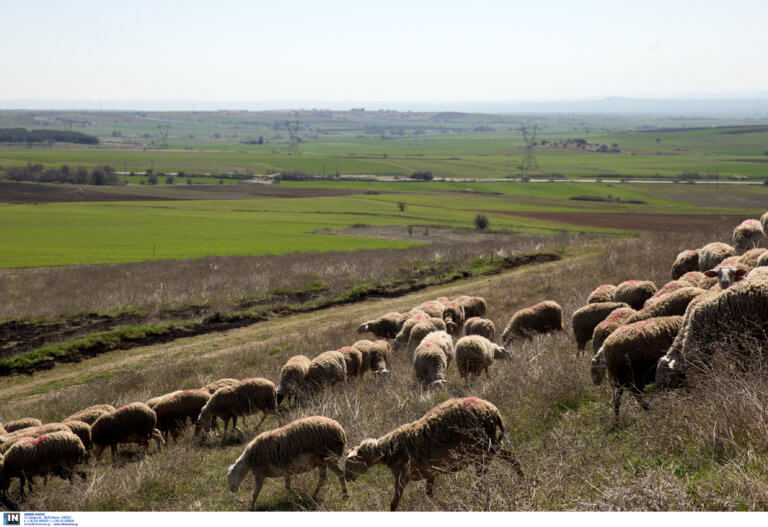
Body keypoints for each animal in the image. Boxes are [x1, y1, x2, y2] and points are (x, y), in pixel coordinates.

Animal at [346, 400, 520, 512]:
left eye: (350, 461)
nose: (347, 478)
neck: (389, 450)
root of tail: (493, 411)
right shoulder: (430, 473)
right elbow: (429, 495)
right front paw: (442, 506)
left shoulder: (403, 475)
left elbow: (394, 502)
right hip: (489, 444)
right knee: (506, 458)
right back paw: (520, 479)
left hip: (483, 445)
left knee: (489, 472)